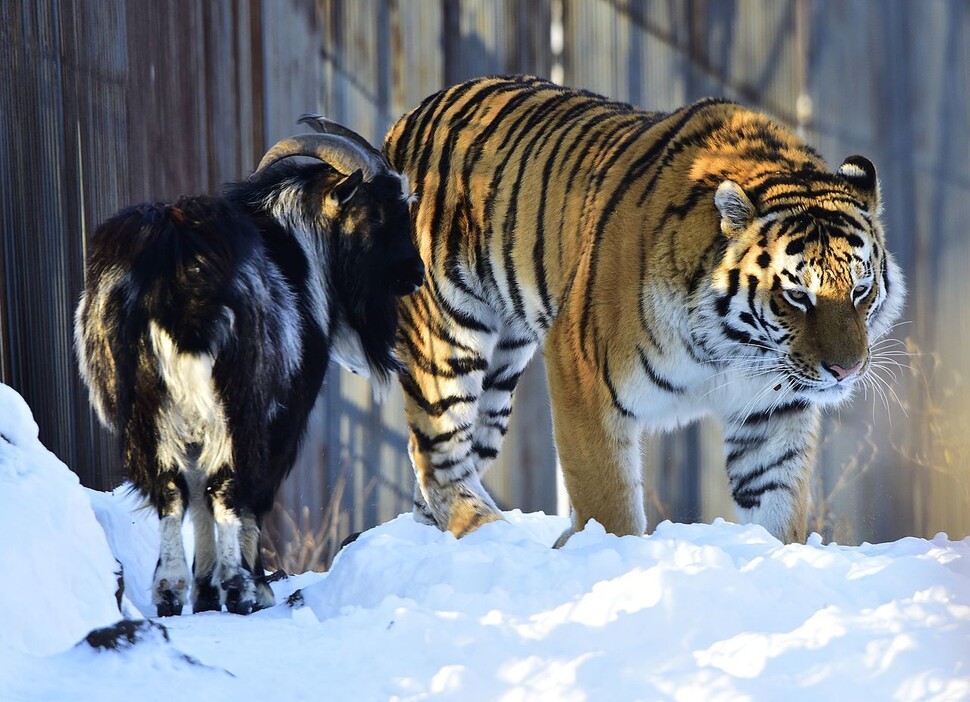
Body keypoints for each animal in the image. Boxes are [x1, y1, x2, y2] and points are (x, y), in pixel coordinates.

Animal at [75, 126, 424, 616]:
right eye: (379, 212)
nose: (416, 272)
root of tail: (176, 262)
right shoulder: (284, 414)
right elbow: (249, 497)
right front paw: (251, 586)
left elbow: (197, 493)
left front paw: (205, 591)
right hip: (240, 397)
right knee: (227, 488)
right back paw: (239, 589)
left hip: (144, 405)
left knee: (171, 488)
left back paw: (171, 590)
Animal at [376, 75, 900, 544]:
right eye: (797, 296)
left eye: (860, 290)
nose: (846, 370)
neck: (734, 348)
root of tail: (406, 120)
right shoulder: (581, 372)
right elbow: (609, 504)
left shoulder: (772, 410)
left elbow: (778, 506)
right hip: (448, 334)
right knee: (436, 454)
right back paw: (492, 534)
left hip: (500, 368)